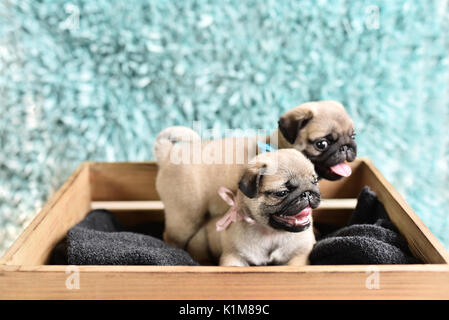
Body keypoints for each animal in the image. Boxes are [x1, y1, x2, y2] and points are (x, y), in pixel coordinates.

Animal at [187, 149, 320, 266]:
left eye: (315, 182)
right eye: (282, 193)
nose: (307, 193)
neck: (271, 233)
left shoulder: (301, 255)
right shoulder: (234, 256)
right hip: (199, 242)